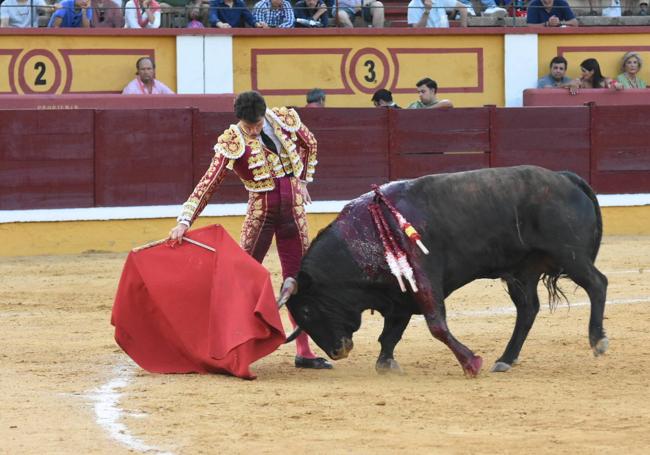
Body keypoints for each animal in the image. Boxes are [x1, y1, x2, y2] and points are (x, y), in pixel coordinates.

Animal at [280, 167, 608, 378]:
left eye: (307, 310)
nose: (337, 352)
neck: (363, 236)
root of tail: (566, 177)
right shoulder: (399, 294)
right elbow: (390, 333)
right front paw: (386, 364)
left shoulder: (423, 279)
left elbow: (436, 325)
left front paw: (471, 363)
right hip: (522, 271)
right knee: (528, 308)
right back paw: (505, 359)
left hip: (570, 254)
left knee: (597, 283)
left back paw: (598, 340)